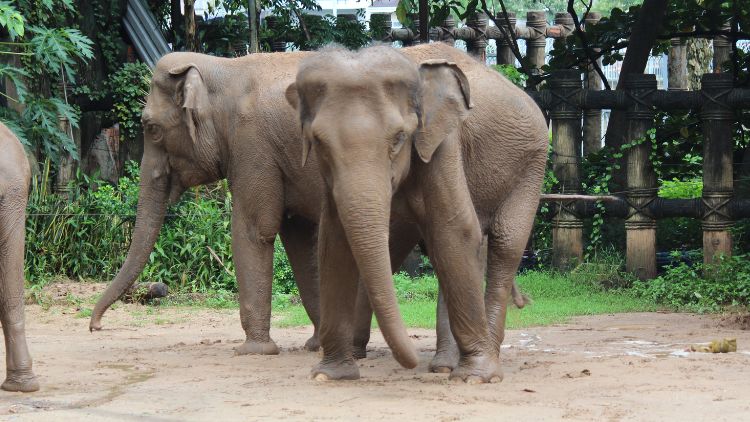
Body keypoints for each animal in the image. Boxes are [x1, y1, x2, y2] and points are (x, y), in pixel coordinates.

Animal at [88, 51, 327, 355]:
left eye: (152, 129)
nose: (96, 327)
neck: (223, 67)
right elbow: (300, 240)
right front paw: (317, 346)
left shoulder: (252, 145)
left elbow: (252, 231)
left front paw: (253, 351)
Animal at [285, 43, 547, 382]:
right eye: (318, 142)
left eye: (399, 138)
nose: (408, 359)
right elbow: (334, 240)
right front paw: (329, 375)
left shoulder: (442, 141)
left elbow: (456, 227)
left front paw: (473, 377)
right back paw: (444, 364)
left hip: (532, 166)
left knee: (504, 245)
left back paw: (473, 364)